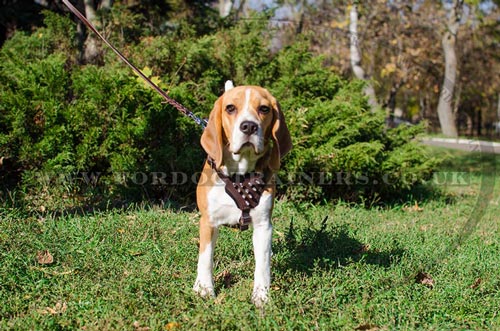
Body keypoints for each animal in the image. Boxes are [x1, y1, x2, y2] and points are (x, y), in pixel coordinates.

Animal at [192, 81, 292, 308]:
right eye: (230, 108)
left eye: (264, 108)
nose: (248, 126)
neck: (239, 174)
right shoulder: (208, 222)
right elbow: (206, 257)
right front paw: (204, 289)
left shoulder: (264, 225)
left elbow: (262, 264)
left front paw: (262, 296)